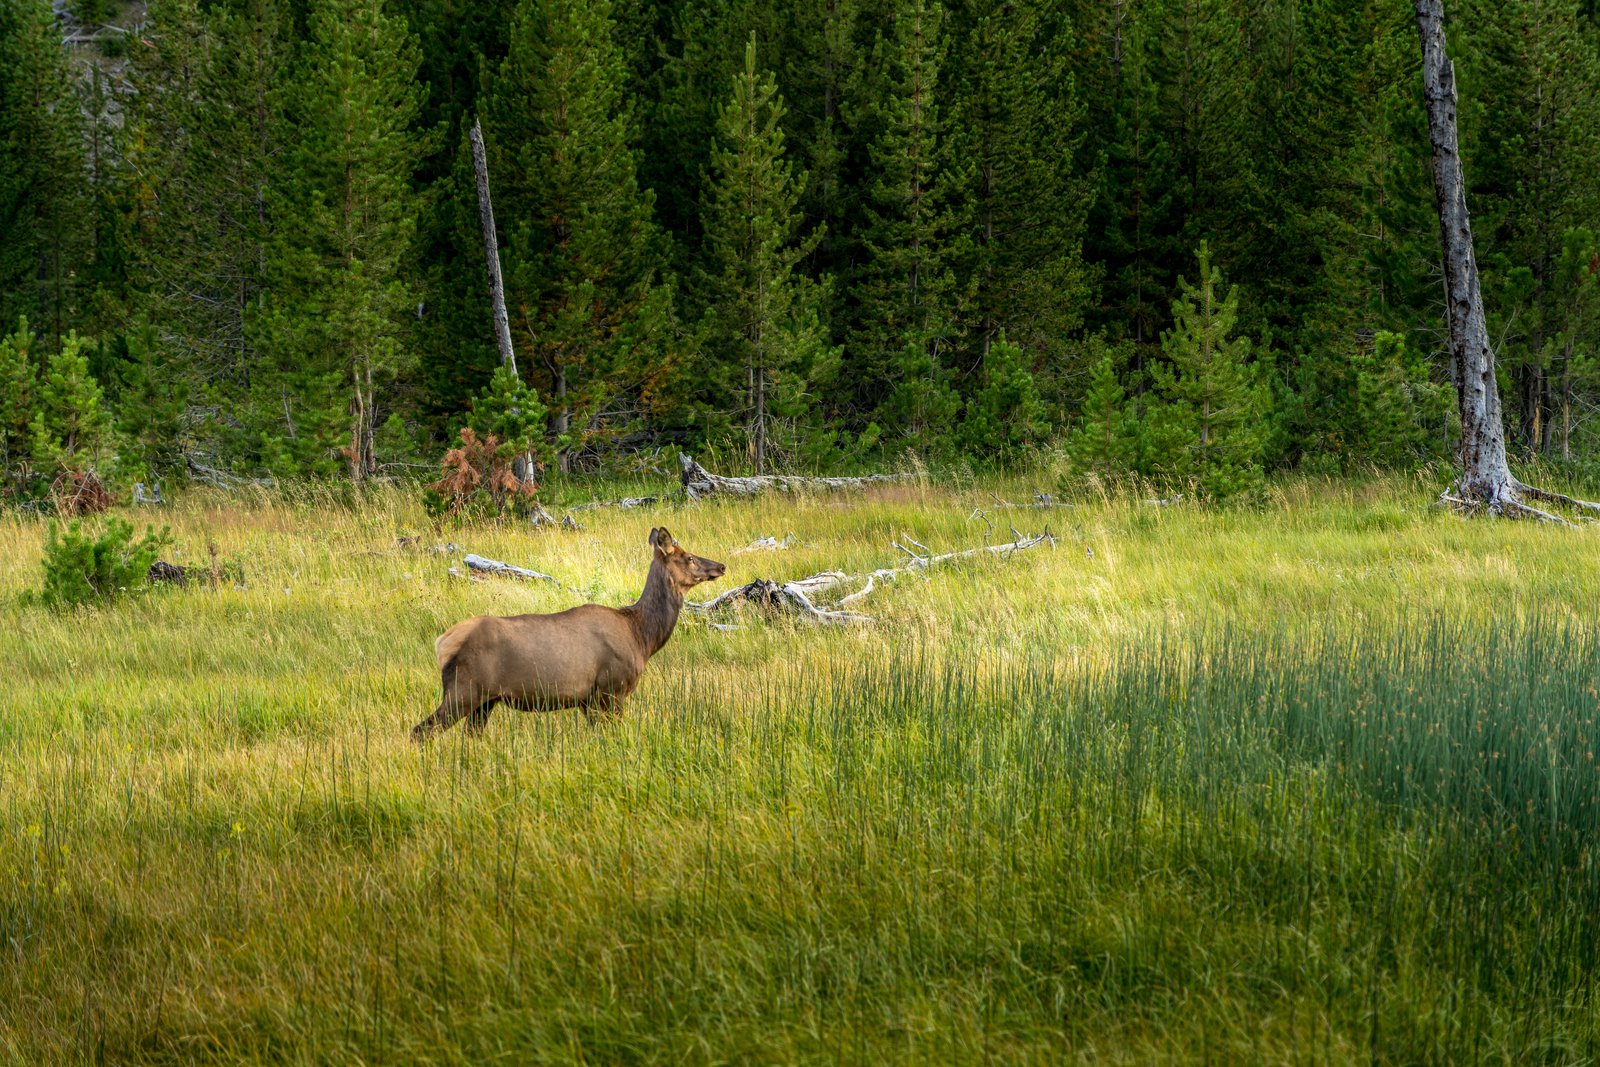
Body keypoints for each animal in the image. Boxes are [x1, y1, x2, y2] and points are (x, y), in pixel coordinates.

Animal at [411, 527, 726, 741]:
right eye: (689, 557)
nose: (721, 566)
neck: (642, 637)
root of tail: (442, 643)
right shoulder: (612, 688)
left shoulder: (588, 699)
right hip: (463, 690)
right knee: (420, 731)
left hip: (485, 701)